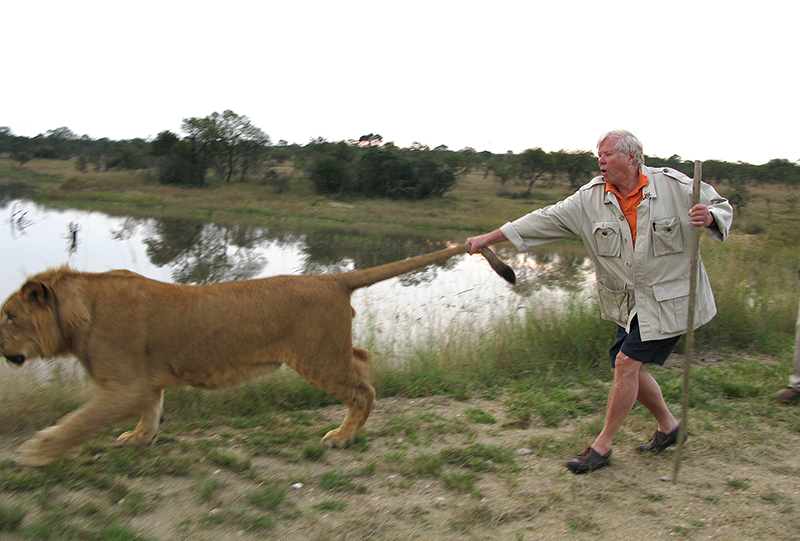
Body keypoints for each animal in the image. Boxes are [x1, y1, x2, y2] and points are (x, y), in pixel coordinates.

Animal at [0, 244, 512, 464]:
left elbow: (76, 423)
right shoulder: (145, 380)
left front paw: (35, 452)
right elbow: (152, 409)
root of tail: (331, 278)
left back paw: (341, 437)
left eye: (8, 316)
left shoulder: (125, 385)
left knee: (362, 389)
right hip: (330, 351)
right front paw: (140, 438)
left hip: (317, 357)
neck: (78, 310)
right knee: (364, 360)